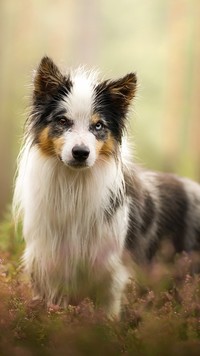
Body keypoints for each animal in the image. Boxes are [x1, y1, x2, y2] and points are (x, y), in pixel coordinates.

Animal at [13, 57, 200, 318]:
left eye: (98, 126)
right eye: (62, 121)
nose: (81, 153)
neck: (75, 184)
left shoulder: (111, 269)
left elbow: (107, 312)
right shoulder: (48, 264)